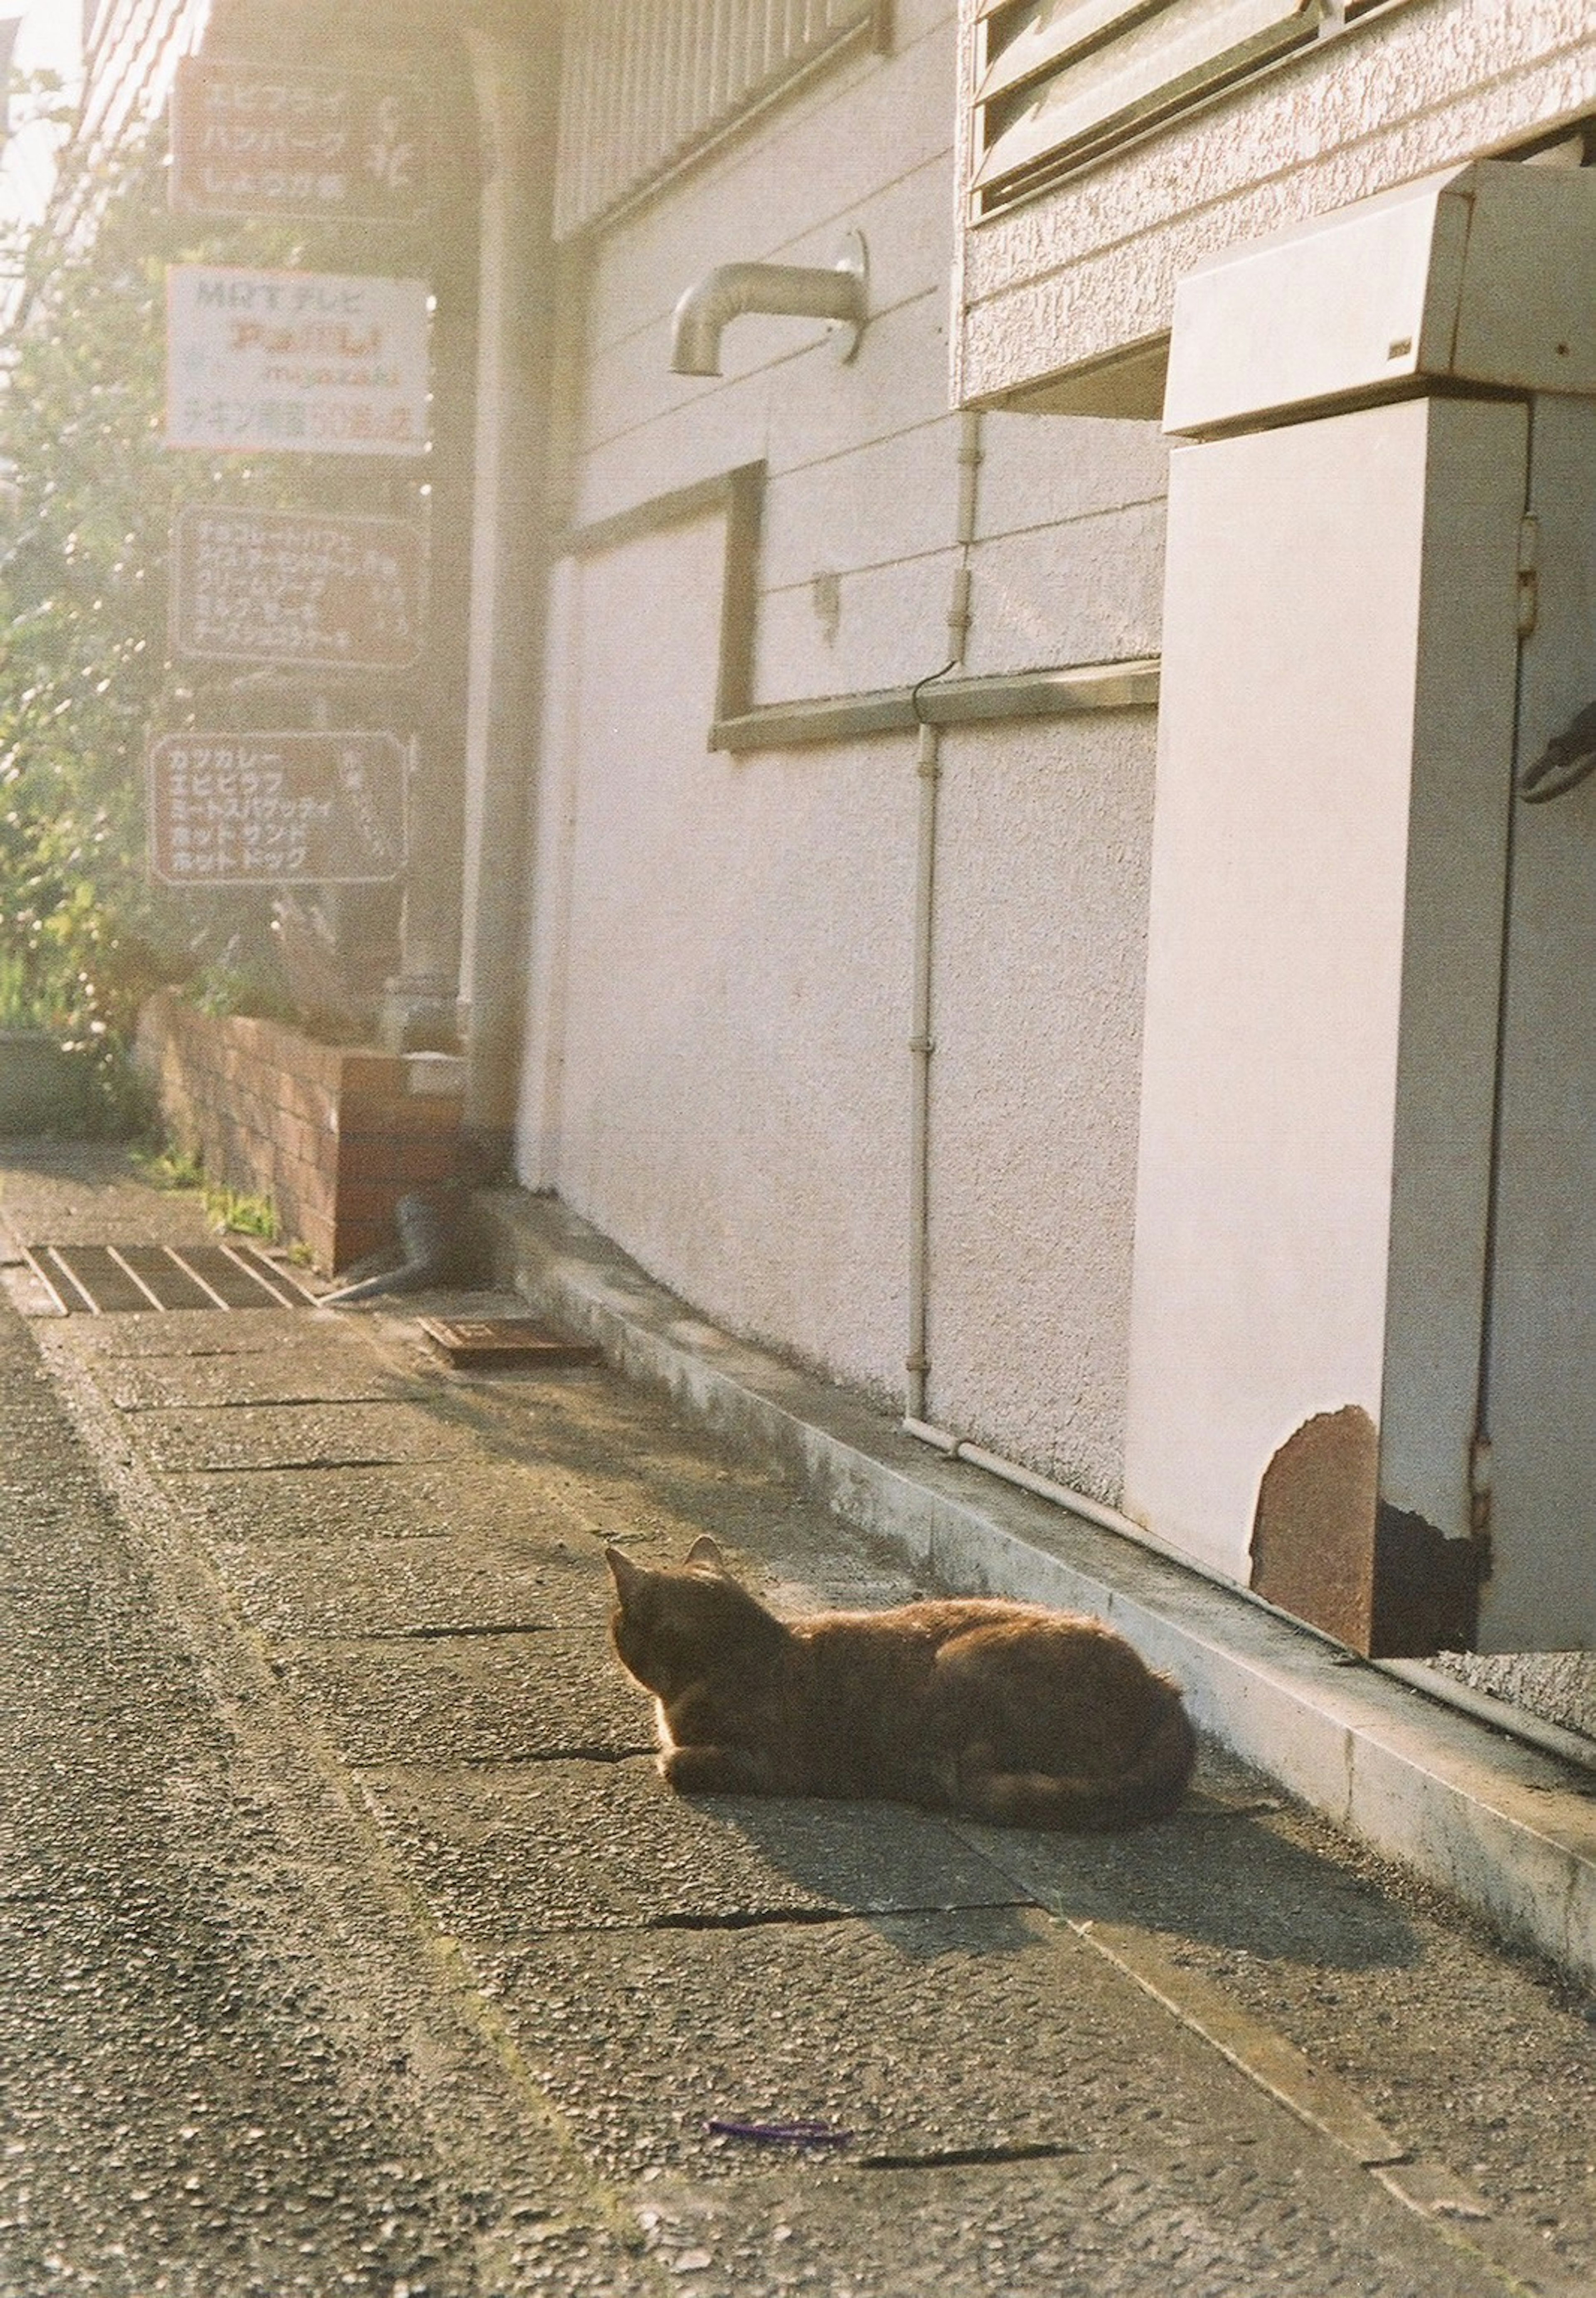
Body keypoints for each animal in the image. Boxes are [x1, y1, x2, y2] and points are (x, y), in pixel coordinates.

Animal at [611, 1535, 1194, 1838]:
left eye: (619, 1623)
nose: (609, 1628)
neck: (748, 1650)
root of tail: (1161, 1687)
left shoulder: (773, 1763)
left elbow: (679, 1761)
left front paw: (672, 1760)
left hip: (964, 1664)